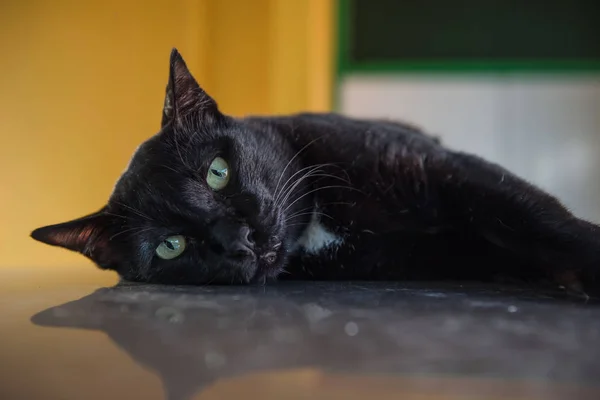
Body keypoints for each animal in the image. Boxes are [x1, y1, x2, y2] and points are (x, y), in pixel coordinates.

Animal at [30, 49, 600, 296]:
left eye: (217, 172)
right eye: (171, 246)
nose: (238, 238)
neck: (317, 226)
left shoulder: (448, 170)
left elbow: (539, 216)